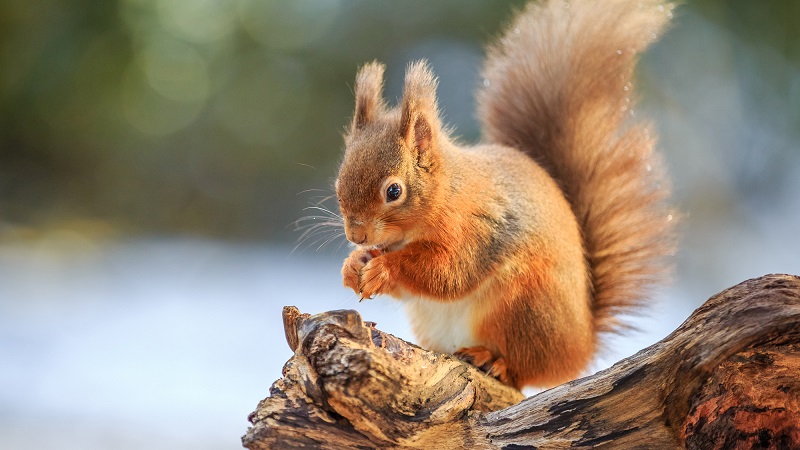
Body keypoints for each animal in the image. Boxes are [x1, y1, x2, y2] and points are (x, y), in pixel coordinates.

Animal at [334, 0, 676, 389]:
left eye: (394, 191)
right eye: (338, 182)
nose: (356, 235)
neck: (447, 194)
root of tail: (580, 347)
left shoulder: (479, 229)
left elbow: (448, 273)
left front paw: (384, 267)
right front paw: (353, 265)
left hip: (523, 308)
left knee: (522, 369)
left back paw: (493, 360)